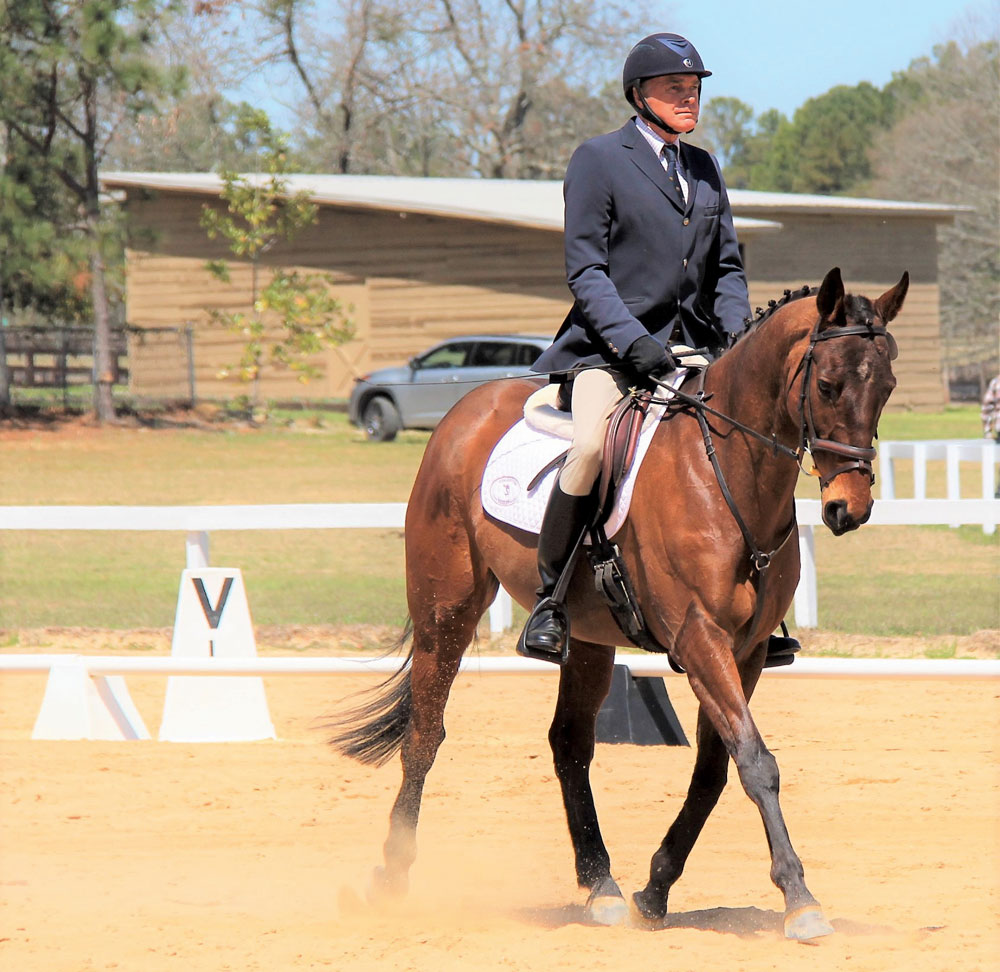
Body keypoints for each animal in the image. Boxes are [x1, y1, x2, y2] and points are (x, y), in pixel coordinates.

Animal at [332, 270, 912, 936]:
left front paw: (656, 889)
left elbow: (715, 769)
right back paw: (392, 875)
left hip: (586, 636)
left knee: (569, 744)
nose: (849, 509)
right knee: (425, 733)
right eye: (827, 384)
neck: (727, 473)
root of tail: (465, 411)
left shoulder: (747, 652)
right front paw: (799, 897)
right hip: (445, 613)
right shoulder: (699, 637)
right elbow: (756, 761)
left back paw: (599, 885)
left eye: (887, 387)